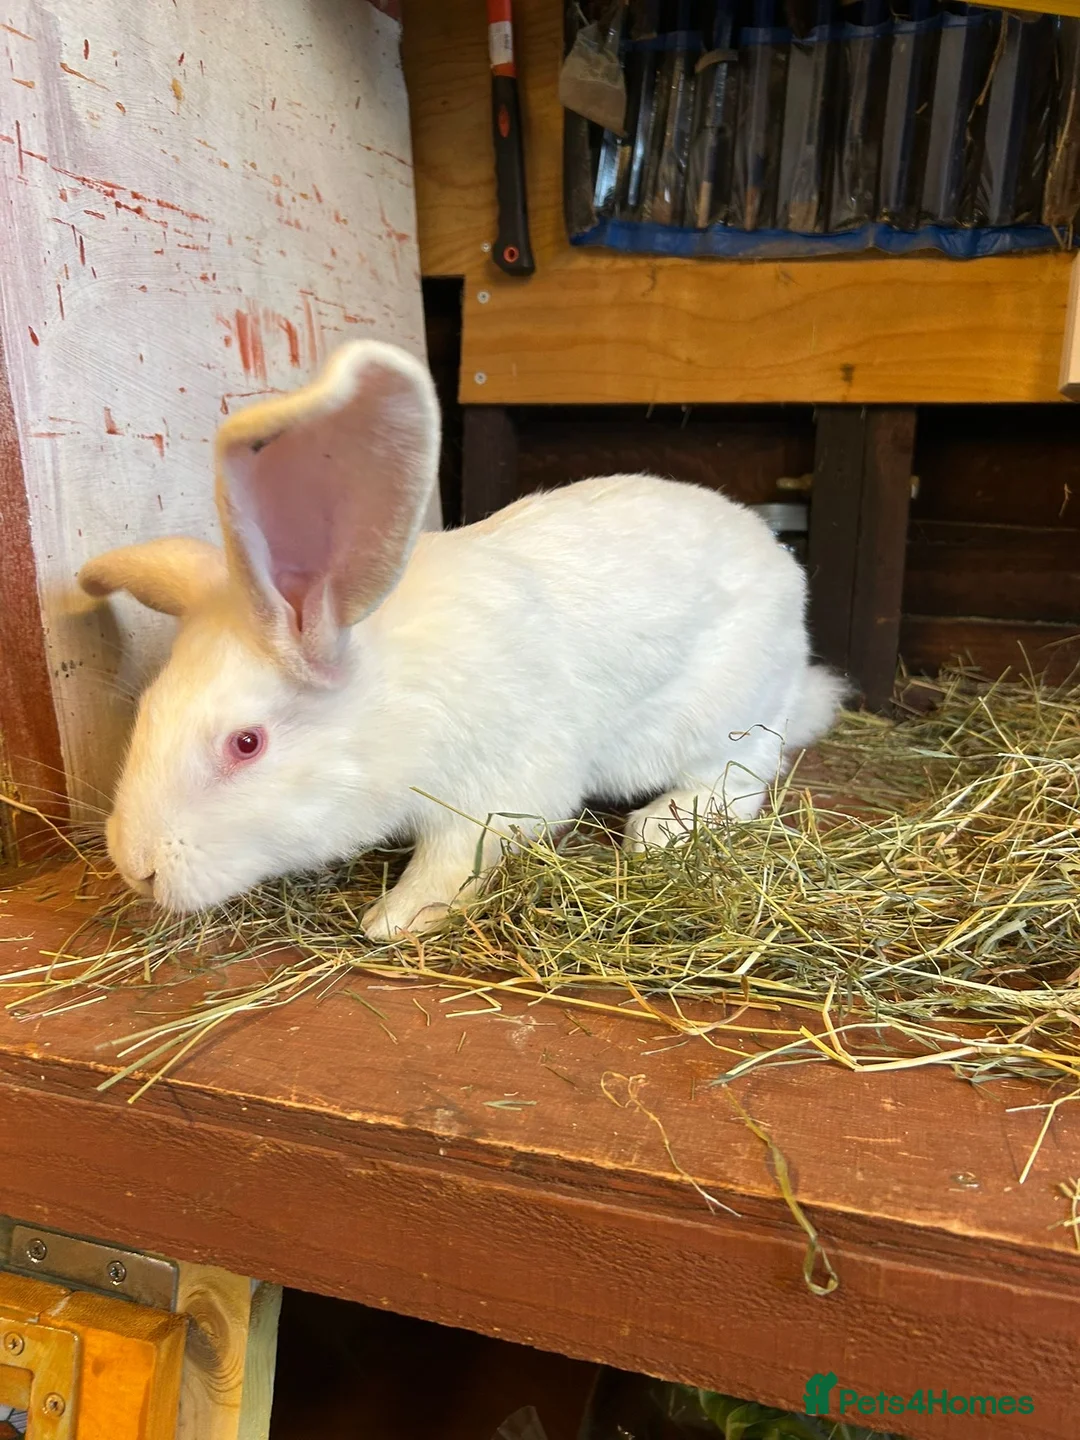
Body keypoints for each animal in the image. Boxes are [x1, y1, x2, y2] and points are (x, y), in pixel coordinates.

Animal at [80, 340, 844, 940]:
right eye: (145, 707)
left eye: (246, 743)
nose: (138, 868)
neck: (390, 700)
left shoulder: (494, 792)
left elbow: (453, 862)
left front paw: (393, 920)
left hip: (727, 716)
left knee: (745, 776)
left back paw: (659, 827)